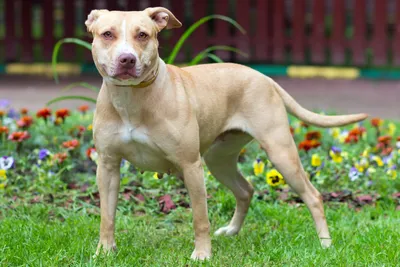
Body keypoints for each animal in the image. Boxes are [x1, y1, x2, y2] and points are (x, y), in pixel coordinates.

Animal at [86, 7, 368, 260]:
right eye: (107, 34)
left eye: (143, 35)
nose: (127, 59)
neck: (131, 99)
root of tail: (263, 76)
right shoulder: (108, 167)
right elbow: (106, 217)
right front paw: (104, 251)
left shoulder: (191, 166)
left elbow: (200, 218)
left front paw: (202, 254)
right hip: (219, 159)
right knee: (245, 190)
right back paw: (232, 230)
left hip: (281, 153)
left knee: (313, 196)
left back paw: (325, 243)